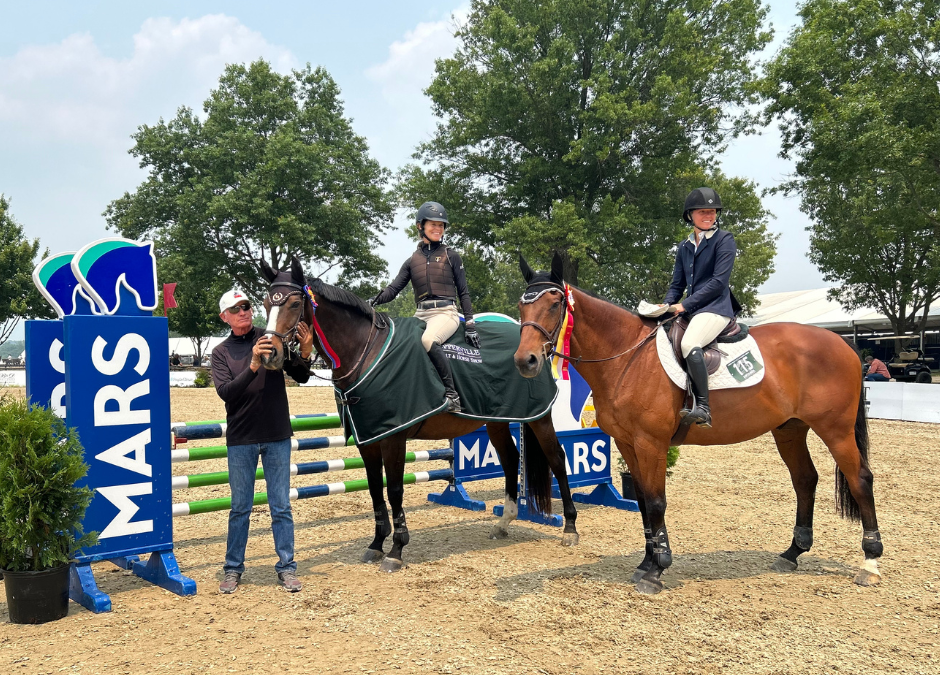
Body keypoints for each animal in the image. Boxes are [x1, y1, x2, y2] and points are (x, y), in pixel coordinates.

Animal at [258, 256, 580, 572]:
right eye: (265, 303)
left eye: (294, 304)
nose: (269, 354)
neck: (367, 351)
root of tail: (533, 343)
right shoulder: (368, 439)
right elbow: (375, 490)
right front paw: (376, 544)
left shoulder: (393, 437)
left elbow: (394, 490)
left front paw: (396, 550)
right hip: (496, 420)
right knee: (511, 459)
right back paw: (504, 523)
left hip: (537, 417)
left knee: (556, 458)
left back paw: (570, 528)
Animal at [516, 254, 880, 596]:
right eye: (522, 306)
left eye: (554, 304)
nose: (525, 361)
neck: (627, 357)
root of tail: (842, 343)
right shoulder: (627, 443)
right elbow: (644, 501)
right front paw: (646, 562)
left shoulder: (651, 442)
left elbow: (657, 501)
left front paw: (657, 570)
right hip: (789, 429)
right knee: (805, 479)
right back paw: (792, 553)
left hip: (835, 430)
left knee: (860, 479)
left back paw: (870, 562)